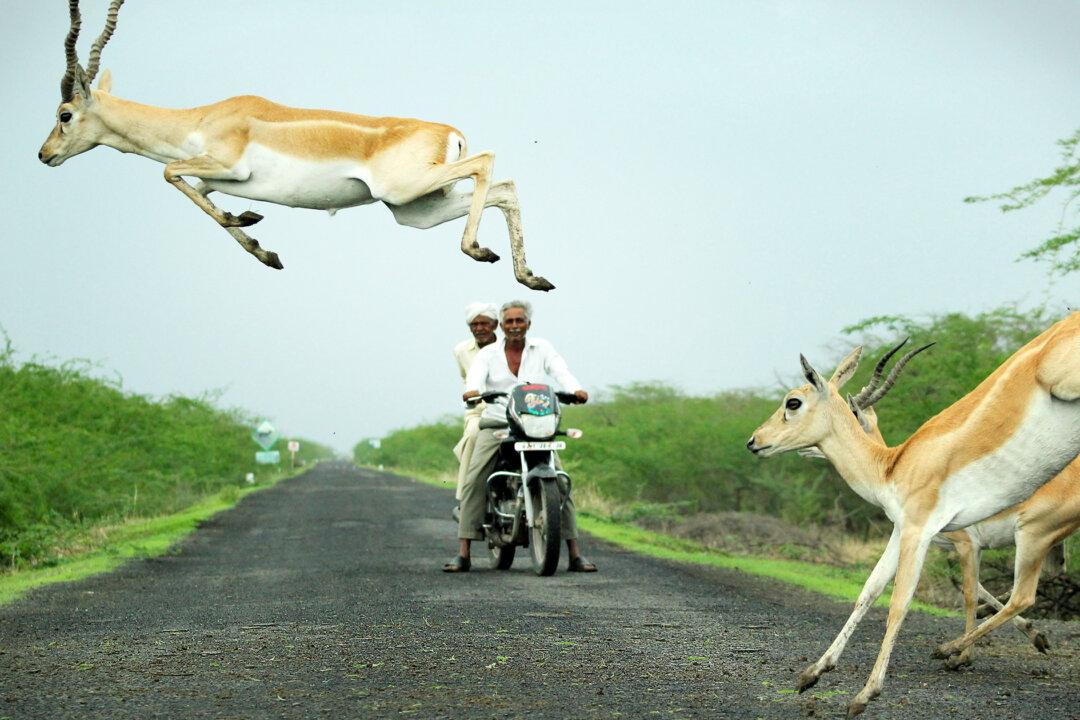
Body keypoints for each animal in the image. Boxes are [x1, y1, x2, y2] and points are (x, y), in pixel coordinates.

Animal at [37, 1, 555, 290]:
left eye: (64, 115)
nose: (44, 154)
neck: (203, 117)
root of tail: (450, 133)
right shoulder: (214, 178)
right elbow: (201, 197)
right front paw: (260, 243)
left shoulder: (227, 167)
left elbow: (167, 172)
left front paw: (248, 223)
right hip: (415, 209)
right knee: (505, 188)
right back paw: (530, 278)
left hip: (406, 190)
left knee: (489, 162)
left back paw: (478, 251)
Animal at [800, 340, 1073, 670]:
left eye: (852, 413)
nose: (805, 449)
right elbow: (977, 588)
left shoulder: (966, 544)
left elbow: (970, 592)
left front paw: (963, 656)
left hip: (1031, 537)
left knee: (1023, 593)